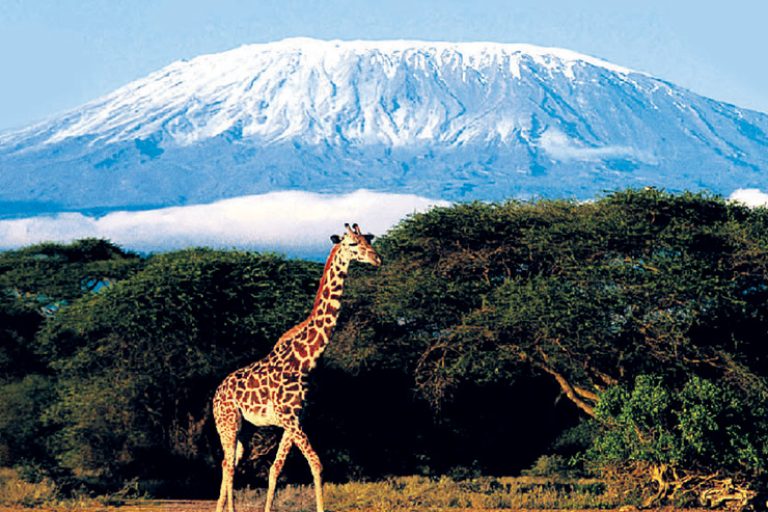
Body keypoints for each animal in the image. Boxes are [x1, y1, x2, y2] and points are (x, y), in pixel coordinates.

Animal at [212, 223, 381, 512]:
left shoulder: (295, 419)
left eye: (368, 240)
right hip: (228, 421)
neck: (304, 360)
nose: (376, 258)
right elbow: (316, 463)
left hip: (245, 428)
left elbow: (275, 469)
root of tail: (215, 394)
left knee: (230, 461)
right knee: (228, 464)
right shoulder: (290, 418)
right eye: (352, 244)